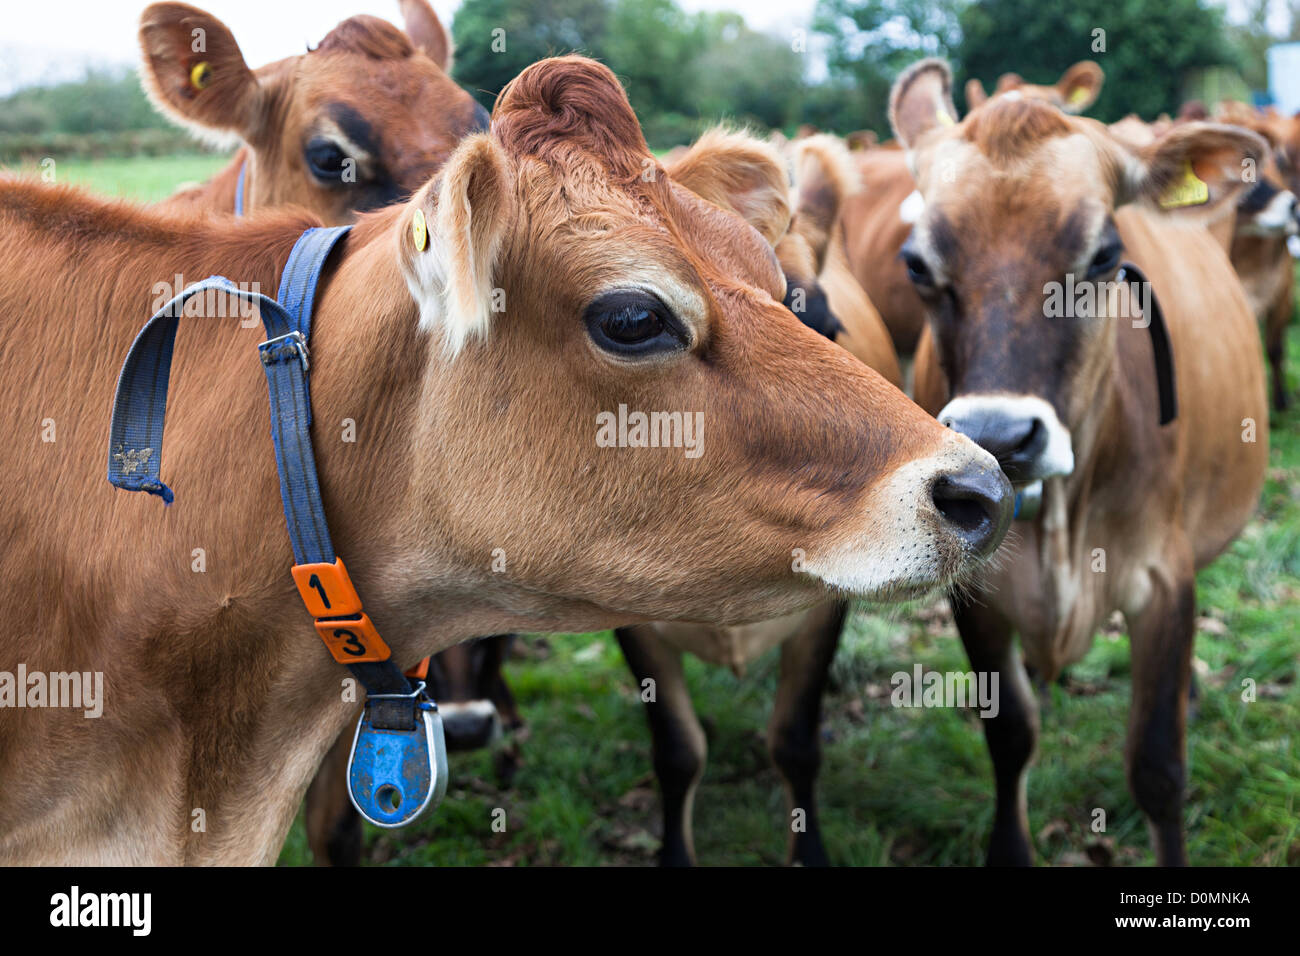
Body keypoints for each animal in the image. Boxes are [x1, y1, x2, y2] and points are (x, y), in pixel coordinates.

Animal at [899, 59, 1263, 868]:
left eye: (1102, 256)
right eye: (916, 264)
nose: (999, 435)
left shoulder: (1163, 577)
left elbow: (1157, 766)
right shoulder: (975, 590)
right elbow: (1010, 737)